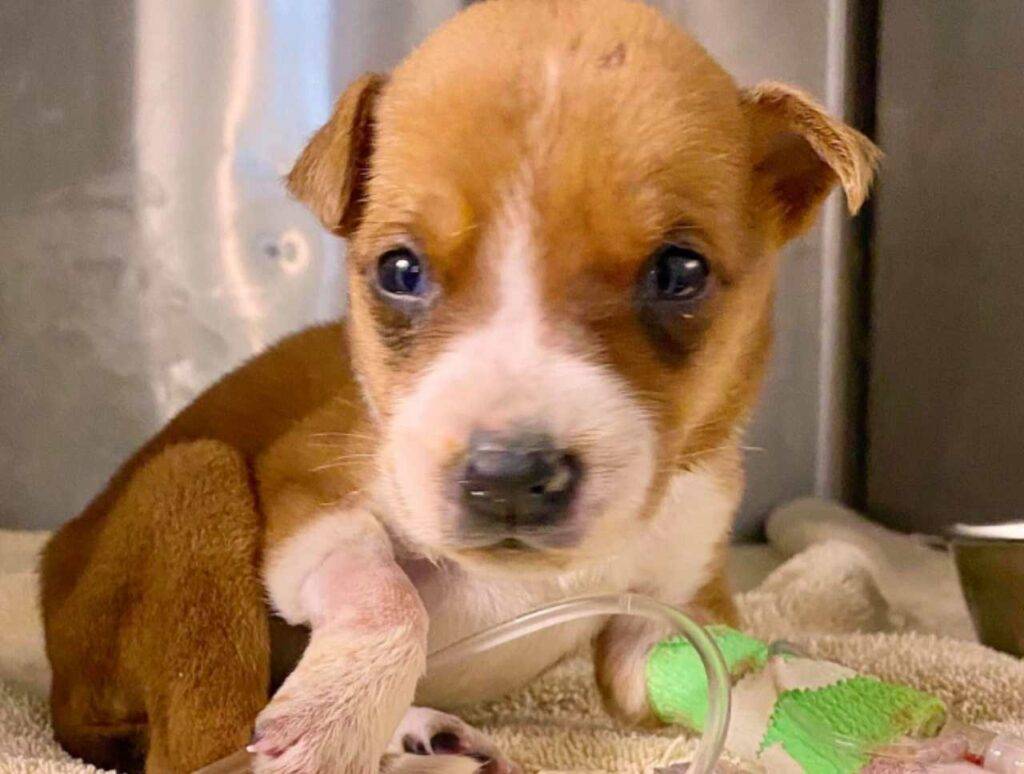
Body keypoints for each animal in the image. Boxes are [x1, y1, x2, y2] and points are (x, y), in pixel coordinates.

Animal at [41, 0, 879, 771]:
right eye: (399, 270)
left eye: (680, 271)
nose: (509, 477)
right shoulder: (308, 487)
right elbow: (389, 597)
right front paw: (334, 714)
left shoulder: (672, 611)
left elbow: (732, 682)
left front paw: (847, 721)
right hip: (195, 481)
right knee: (195, 744)